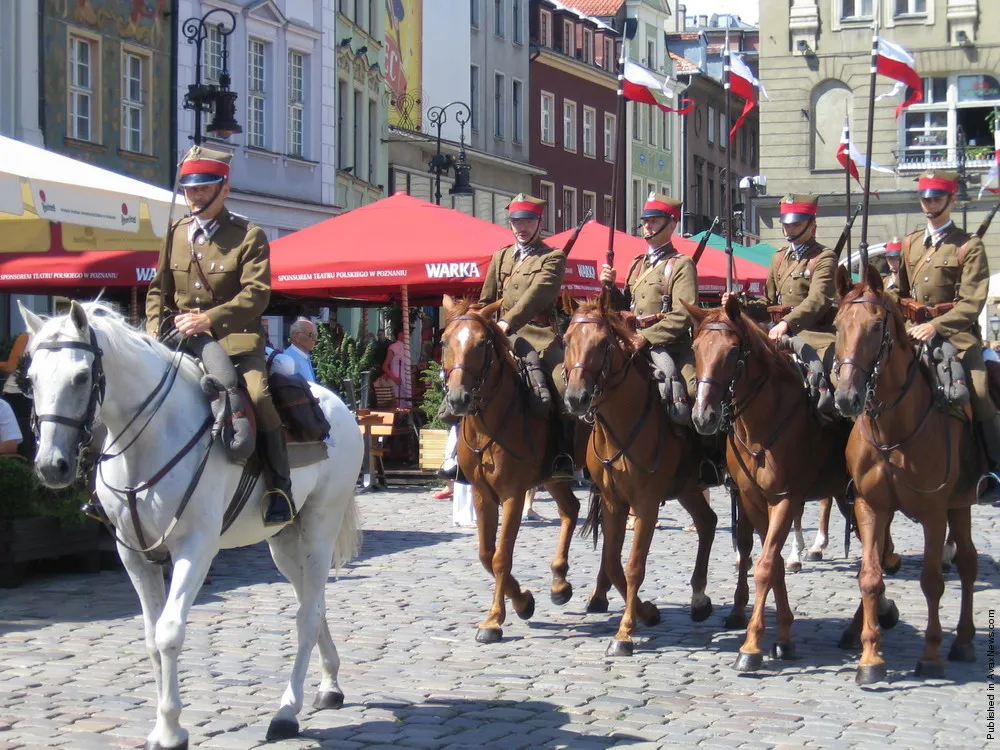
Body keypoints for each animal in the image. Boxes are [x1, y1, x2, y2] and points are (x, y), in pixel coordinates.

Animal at [21, 302, 364, 750]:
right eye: (31, 379)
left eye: (81, 376)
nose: (51, 465)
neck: (148, 440)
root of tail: (338, 404)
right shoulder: (133, 554)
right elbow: (151, 637)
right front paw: (160, 725)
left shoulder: (195, 547)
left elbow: (169, 632)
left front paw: (170, 729)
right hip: (286, 541)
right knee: (313, 601)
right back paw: (329, 685)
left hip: (320, 527)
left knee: (307, 614)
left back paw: (287, 711)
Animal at [442, 296, 584, 644]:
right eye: (445, 341)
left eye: (481, 343)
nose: (458, 398)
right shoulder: (482, 494)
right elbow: (486, 554)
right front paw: (523, 602)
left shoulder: (513, 496)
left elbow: (501, 555)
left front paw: (494, 620)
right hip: (554, 477)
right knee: (571, 510)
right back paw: (559, 583)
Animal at [564, 294, 752, 656]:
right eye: (566, 340)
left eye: (602, 343)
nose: (576, 398)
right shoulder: (613, 502)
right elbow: (612, 562)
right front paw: (647, 613)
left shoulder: (646, 504)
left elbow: (634, 565)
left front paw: (624, 633)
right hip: (688, 488)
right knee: (707, 522)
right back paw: (699, 599)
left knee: (745, 545)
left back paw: (737, 609)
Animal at [688, 296, 876, 672]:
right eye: (695, 348)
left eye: (732, 351)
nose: (703, 417)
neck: (761, 423)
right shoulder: (752, 499)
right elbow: (769, 562)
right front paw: (784, 637)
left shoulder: (786, 499)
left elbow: (763, 566)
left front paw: (751, 648)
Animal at [828, 266, 976, 688]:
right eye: (837, 325)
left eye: (877, 326)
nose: (846, 398)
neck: (894, 429)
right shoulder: (870, 507)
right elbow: (870, 576)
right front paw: (870, 658)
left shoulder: (934, 512)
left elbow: (932, 581)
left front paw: (930, 656)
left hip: (960, 504)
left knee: (968, 565)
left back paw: (963, 642)